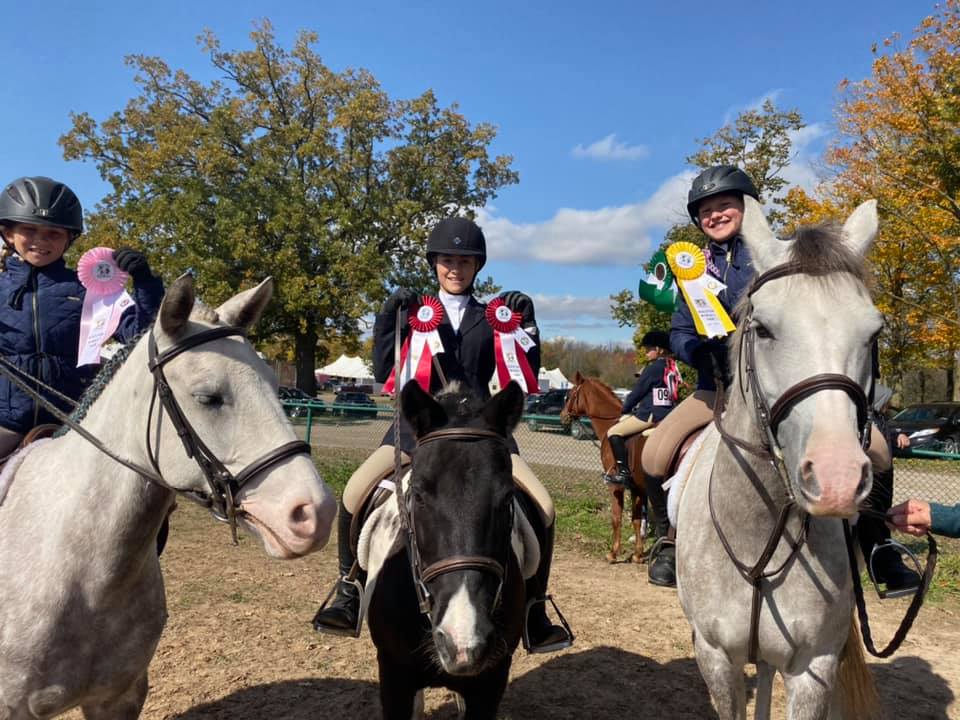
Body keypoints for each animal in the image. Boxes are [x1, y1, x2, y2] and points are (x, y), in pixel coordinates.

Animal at [562, 372, 648, 563]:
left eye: (569, 395)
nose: (562, 416)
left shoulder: (615, 485)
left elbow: (616, 518)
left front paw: (613, 553)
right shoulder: (637, 488)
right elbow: (636, 519)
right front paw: (638, 554)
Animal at [675, 197, 883, 719]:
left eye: (874, 333)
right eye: (763, 329)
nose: (836, 479)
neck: (762, 533)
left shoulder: (813, 667)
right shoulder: (715, 658)